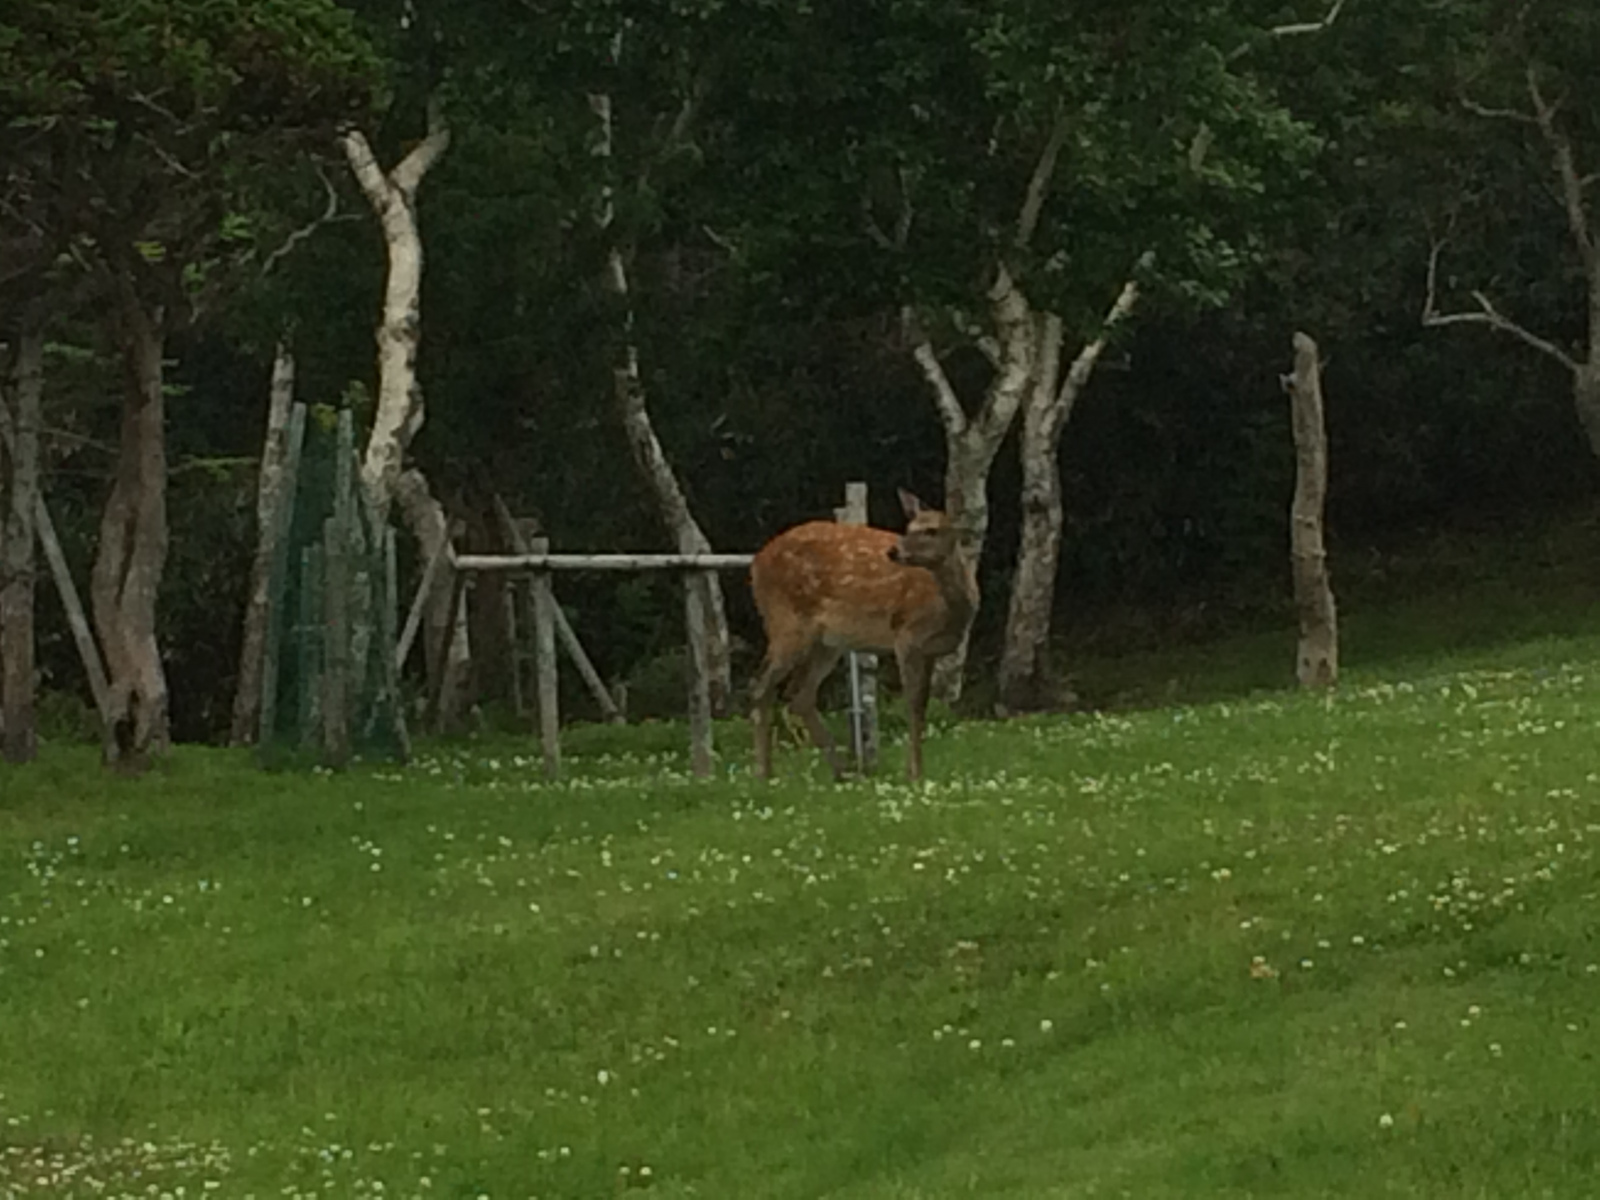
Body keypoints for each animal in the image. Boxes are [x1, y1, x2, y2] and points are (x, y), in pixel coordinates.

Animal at [749, 489, 978, 783]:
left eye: (932, 530)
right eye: (908, 527)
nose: (894, 551)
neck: (951, 611)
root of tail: (755, 564)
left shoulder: (930, 651)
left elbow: (923, 706)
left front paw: (917, 770)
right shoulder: (906, 637)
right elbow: (913, 705)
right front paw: (914, 774)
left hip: (827, 642)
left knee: (799, 694)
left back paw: (843, 771)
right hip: (786, 623)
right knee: (760, 685)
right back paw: (764, 772)